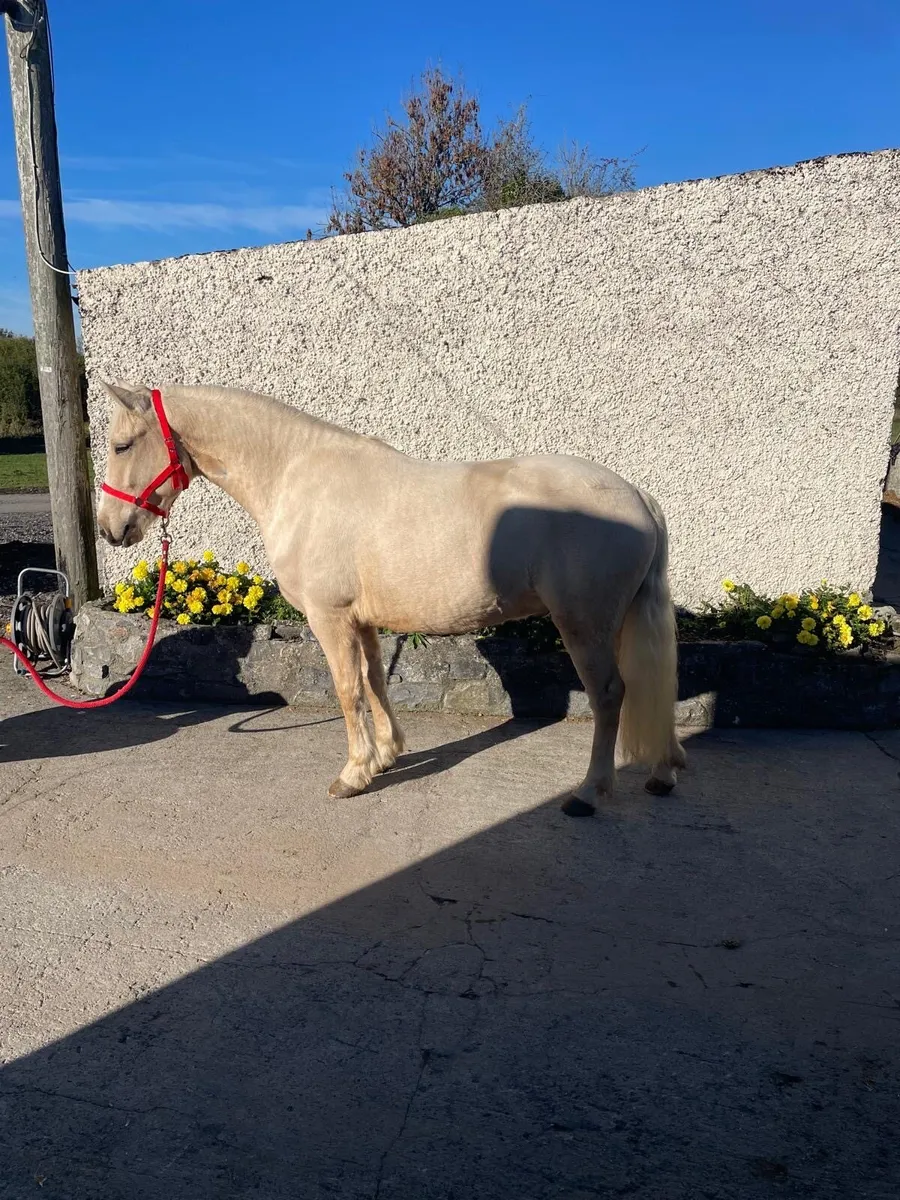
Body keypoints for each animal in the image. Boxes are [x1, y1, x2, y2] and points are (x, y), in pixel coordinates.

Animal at [96, 381, 685, 816]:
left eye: (122, 445)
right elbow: (375, 682)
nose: (110, 529)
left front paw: (353, 775)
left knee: (611, 694)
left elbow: (346, 689)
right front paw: (386, 756)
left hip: (584, 625)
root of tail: (638, 496)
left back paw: (588, 793)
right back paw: (663, 770)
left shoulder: (329, 618)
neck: (294, 476)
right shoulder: (362, 620)